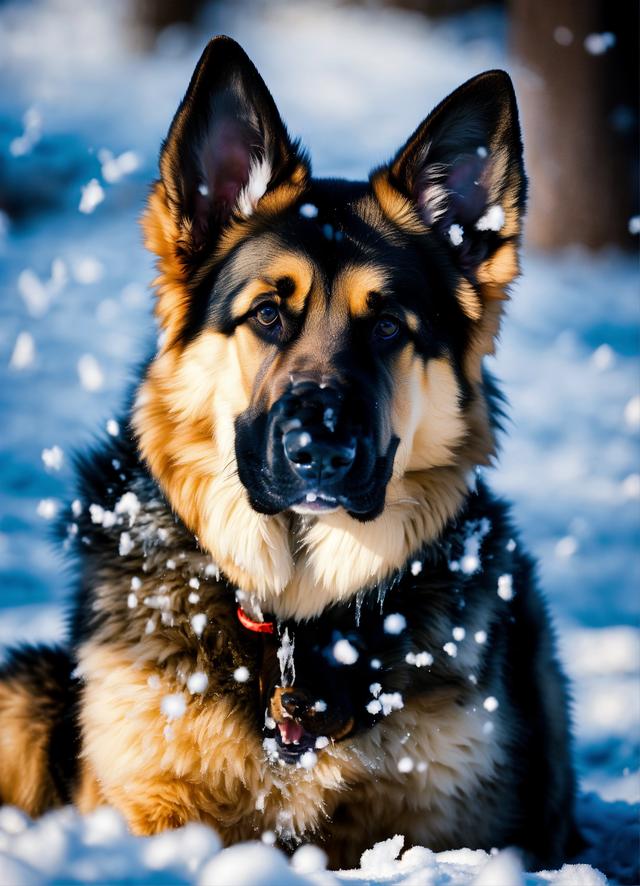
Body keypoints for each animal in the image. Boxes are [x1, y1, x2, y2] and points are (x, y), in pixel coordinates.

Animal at [1, 36, 580, 876]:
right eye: (268, 315)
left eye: (387, 328)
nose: (320, 450)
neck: (298, 622)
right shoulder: (147, 805)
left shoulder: (455, 827)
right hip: (23, 691)